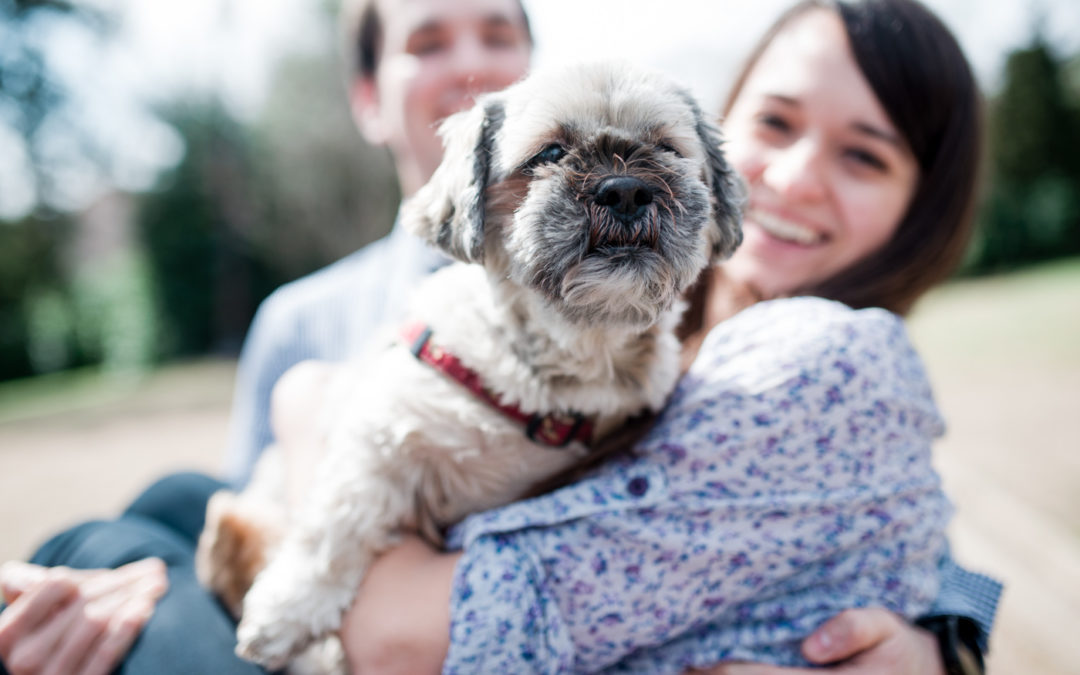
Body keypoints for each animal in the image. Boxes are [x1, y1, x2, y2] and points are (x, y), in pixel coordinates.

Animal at [196, 61, 743, 669]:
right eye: (551, 153)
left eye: (667, 149)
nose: (625, 189)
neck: (562, 369)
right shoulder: (380, 435)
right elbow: (335, 527)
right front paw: (285, 612)